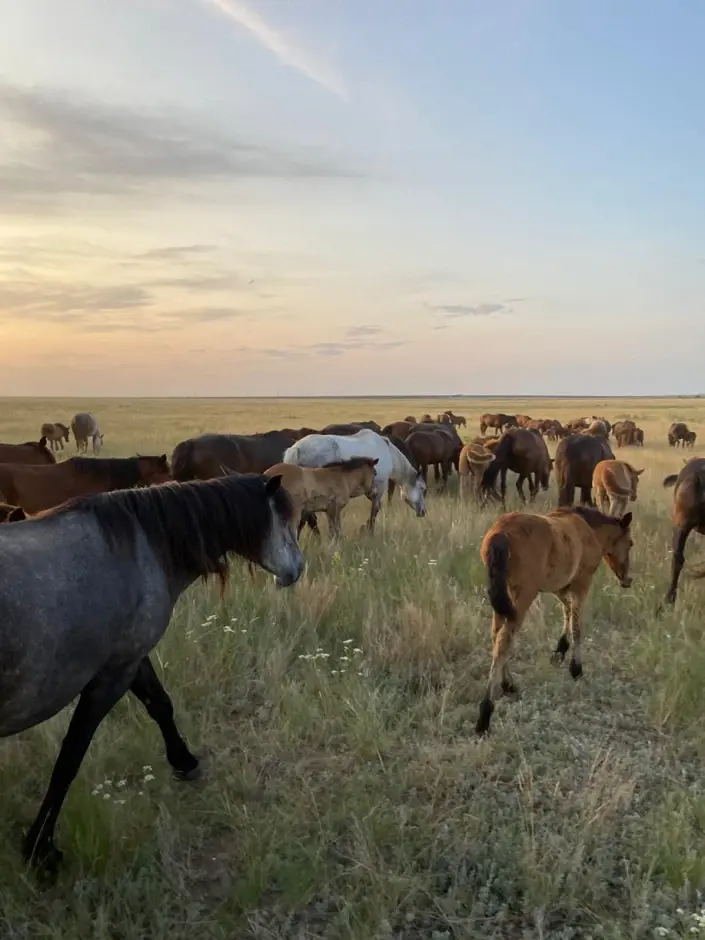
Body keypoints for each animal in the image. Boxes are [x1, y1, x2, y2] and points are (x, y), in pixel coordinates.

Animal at [0, 472, 303, 872]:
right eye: (281, 517)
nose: (297, 568)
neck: (142, 547)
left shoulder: (132, 658)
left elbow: (160, 704)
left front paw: (184, 762)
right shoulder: (113, 675)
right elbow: (70, 758)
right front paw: (40, 848)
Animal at [283, 429, 426, 532]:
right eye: (422, 488)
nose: (423, 511)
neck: (389, 453)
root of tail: (296, 449)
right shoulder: (380, 486)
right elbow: (375, 509)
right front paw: (369, 530)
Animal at [475, 506, 634, 735]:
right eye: (630, 543)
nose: (628, 580)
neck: (589, 529)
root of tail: (501, 533)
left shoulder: (560, 585)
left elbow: (566, 610)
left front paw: (560, 649)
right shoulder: (581, 583)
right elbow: (577, 625)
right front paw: (576, 668)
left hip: (504, 596)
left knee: (497, 635)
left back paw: (508, 685)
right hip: (523, 596)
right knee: (504, 642)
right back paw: (485, 715)